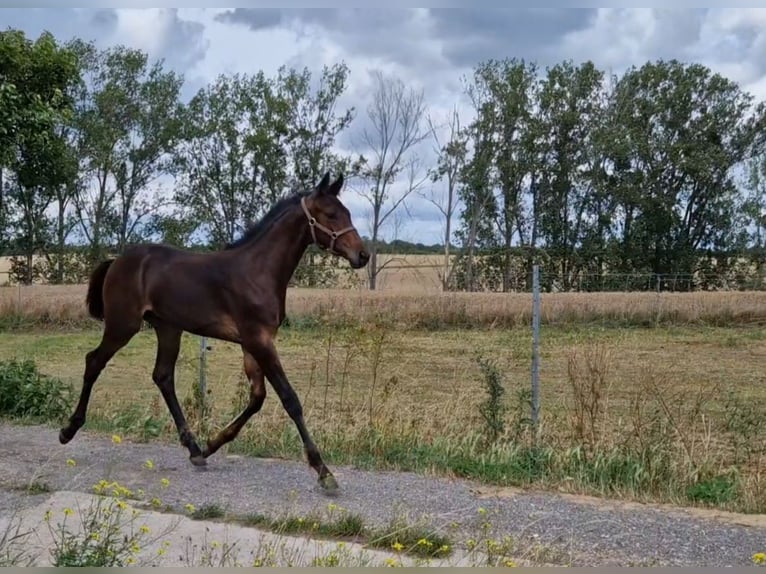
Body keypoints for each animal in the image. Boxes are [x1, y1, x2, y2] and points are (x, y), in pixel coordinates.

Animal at [58, 173, 370, 492]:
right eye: (330, 214)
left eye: (347, 212)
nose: (363, 255)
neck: (258, 271)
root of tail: (117, 261)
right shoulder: (259, 340)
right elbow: (289, 398)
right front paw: (323, 470)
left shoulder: (253, 343)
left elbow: (257, 398)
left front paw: (211, 444)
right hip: (123, 325)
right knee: (94, 361)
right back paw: (68, 429)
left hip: (168, 328)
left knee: (162, 376)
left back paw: (194, 448)